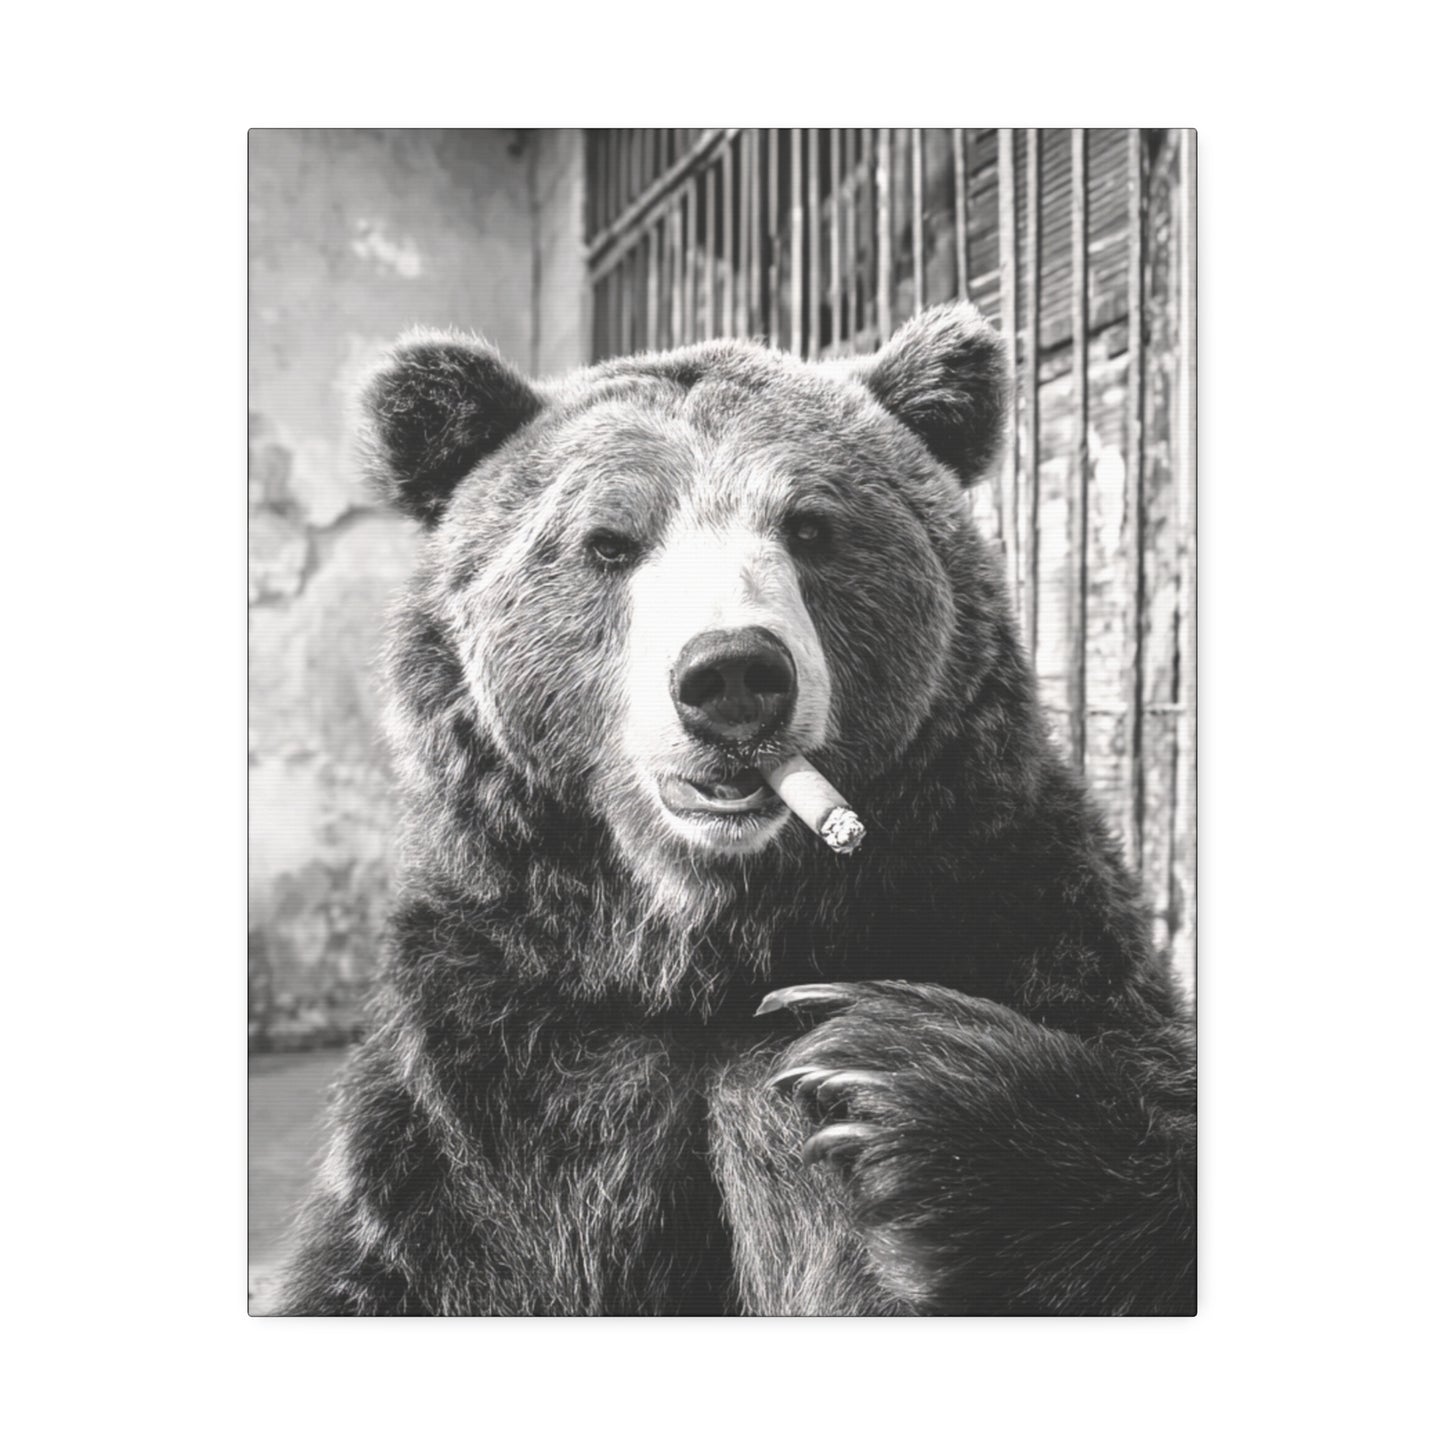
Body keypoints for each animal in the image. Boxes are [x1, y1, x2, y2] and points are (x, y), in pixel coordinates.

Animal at [278, 301, 1196, 1316]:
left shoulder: (1015, 907)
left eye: (809, 525)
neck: (708, 941)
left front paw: (885, 1073)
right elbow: (398, 1259)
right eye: (609, 540)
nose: (732, 674)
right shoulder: (497, 1056)